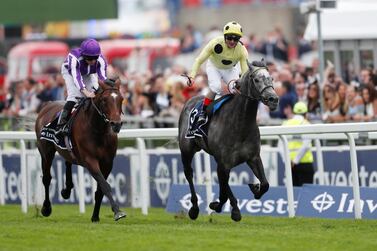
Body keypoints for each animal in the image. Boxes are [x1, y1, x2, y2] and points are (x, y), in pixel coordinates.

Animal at [34, 78, 125, 222]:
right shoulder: (90, 160)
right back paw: (46, 208)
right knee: (47, 178)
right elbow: (105, 185)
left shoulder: (108, 162)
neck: (98, 130)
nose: (116, 124)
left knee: (68, 162)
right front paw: (117, 211)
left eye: (121, 99)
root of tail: (47, 105)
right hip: (46, 152)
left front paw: (95, 216)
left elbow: (100, 189)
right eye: (104, 100)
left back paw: (67, 190)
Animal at [178, 60, 278, 222]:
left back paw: (235, 208)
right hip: (186, 150)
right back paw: (194, 208)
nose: (273, 99)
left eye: (272, 79)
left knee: (224, 184)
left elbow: (265, 184)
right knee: (189, 174)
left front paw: (254, 188)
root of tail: (191, 100)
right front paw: (215, 205)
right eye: (257, 80)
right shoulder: (224, 163)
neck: (240, 124)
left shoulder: (253, 157)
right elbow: (223, 193)